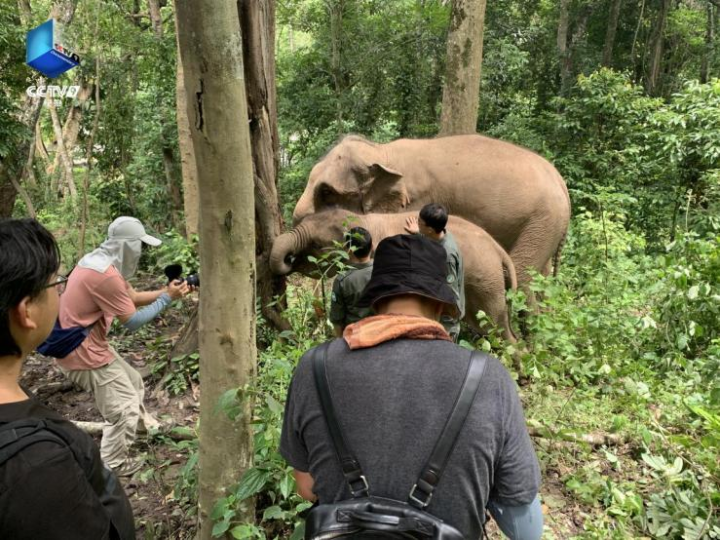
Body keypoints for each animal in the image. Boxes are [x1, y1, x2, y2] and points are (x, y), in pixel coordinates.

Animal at [270, 209, 516, 340]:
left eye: (318, 245)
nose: (289, 259)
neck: (363, 218)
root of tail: (498, 249)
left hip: (486, 282)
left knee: (496, 324)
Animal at [290, 133, 572, 288]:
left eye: (326, 193)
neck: (382, 151)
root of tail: (560, 181)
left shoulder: (417, 202)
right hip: (544, 224)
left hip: (542, 221)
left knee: (523, 278)